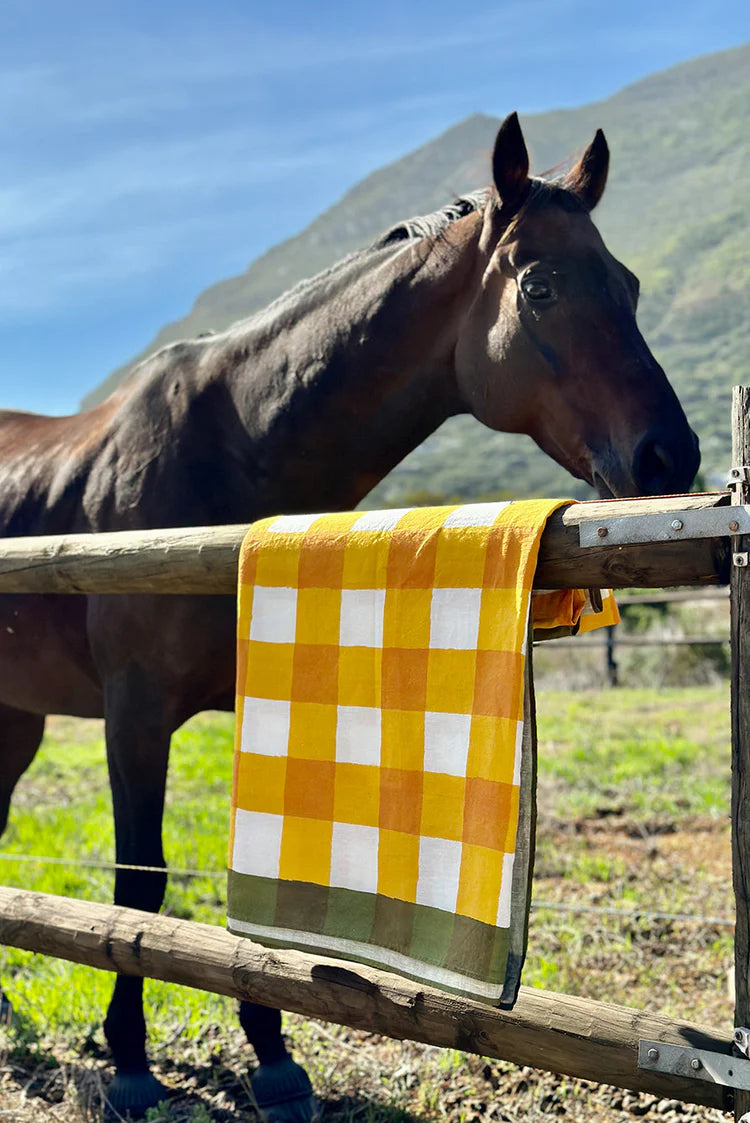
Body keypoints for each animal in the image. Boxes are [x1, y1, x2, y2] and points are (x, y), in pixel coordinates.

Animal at [0, 113, 696, 1114]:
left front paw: (273, 1057)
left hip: (15, 716)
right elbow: (139, 885)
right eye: (541, 286)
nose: (668, 455)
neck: (233, 451)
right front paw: (129, 1060)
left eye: (631, 285)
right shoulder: (134, 714)